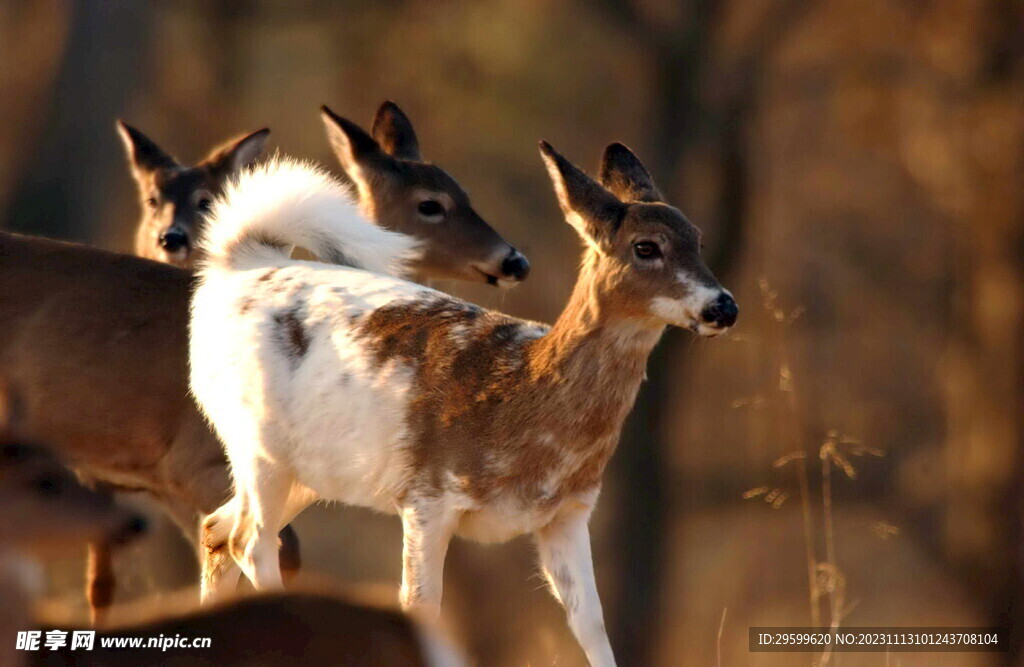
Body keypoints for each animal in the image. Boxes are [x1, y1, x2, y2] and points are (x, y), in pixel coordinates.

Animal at [190, 139, 737, 663]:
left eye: (697, 239)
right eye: (646, 246)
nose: (723, 306)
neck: (521, 396)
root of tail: (244, 264)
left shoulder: (569, 512)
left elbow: (592, 627)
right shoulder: (428, 496)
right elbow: (420, 606)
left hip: (311, 470)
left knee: (216, 528)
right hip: (255, 444)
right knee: (248, 542)